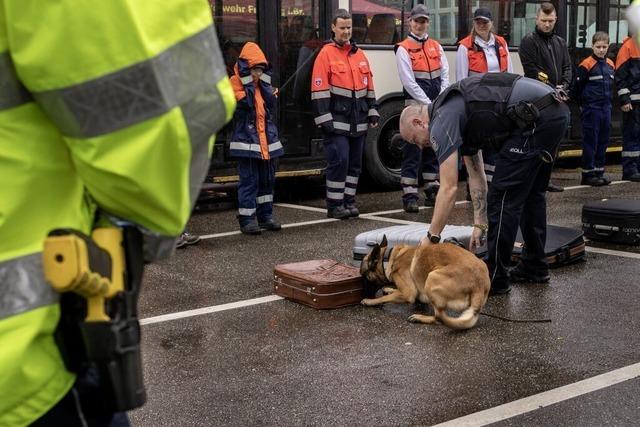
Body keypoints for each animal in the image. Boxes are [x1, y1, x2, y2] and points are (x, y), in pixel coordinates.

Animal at [360, 236, 490, 330]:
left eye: (365, 277)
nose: (364, 293)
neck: (389, 258)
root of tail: (479, 284)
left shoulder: (408, 293)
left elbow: (384, 298)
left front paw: (370, 301)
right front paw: (389, 289)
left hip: (431, 277)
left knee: (439, 317)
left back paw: (420, 317)